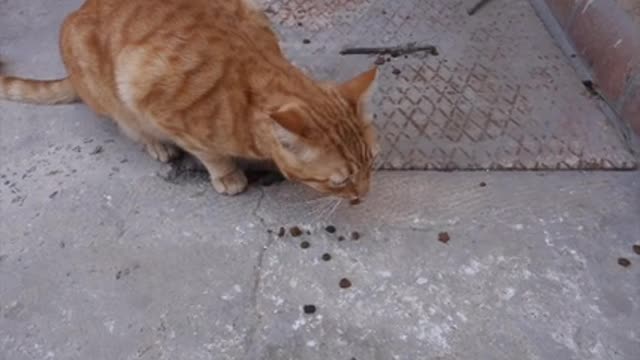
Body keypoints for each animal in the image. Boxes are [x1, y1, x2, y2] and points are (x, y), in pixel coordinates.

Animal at [0, 0, 378, 198]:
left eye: (372, 163)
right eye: (341, 182)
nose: (363, 194)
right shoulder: (153, 99)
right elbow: (210, 153)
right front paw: (227, 174)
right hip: (111, 94)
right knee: (130, 126)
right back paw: (156, 145)